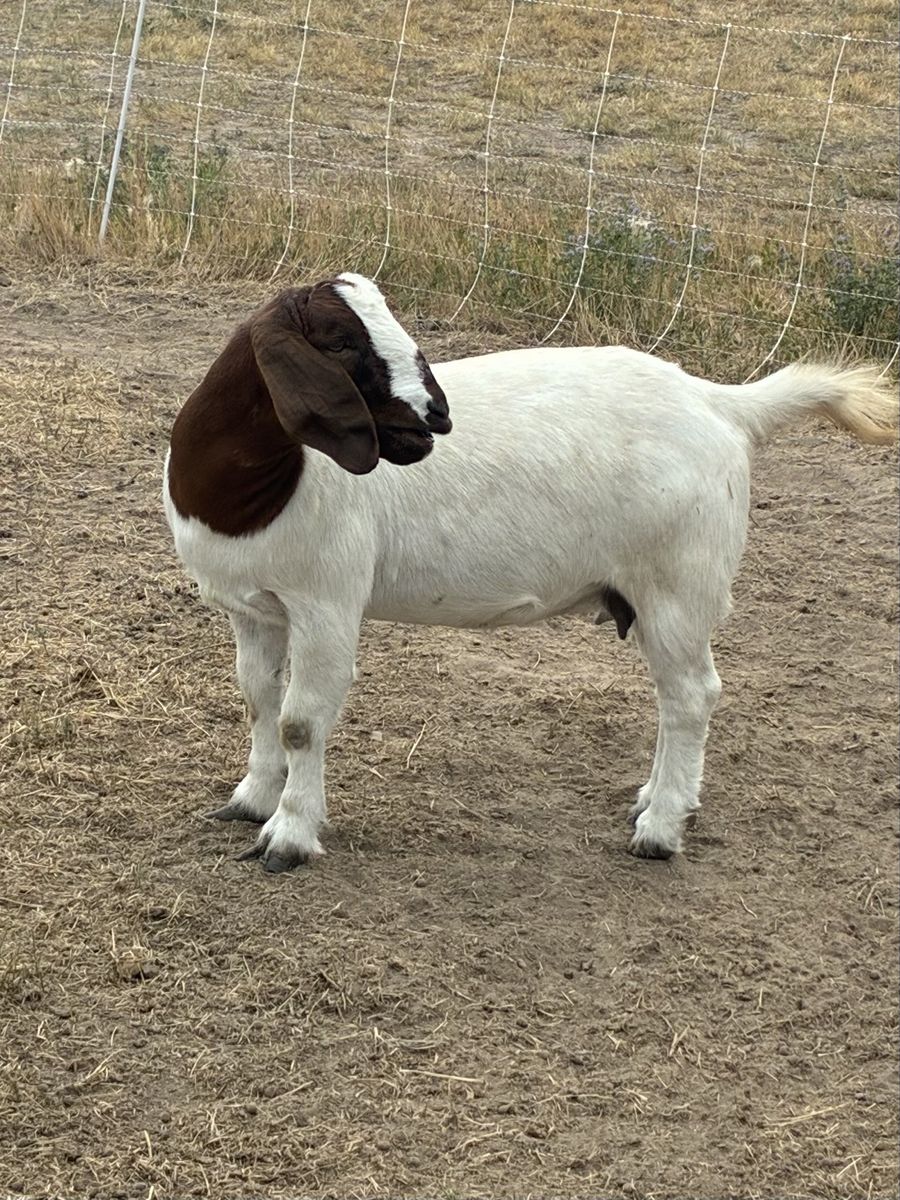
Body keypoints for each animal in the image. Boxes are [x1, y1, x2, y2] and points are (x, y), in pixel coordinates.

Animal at [163, 272, 898, 873]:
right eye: (341, 341)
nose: (437, 417)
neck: (260, 485)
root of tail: (722, 405)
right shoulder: (253, 607)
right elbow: (258, 699)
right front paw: (251, 800)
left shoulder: (327, 602)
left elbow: (301, 721)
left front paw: (288, 836)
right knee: (675, 696)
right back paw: (655, 801)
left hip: (679, 585)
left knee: (691, 695)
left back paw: (660, 830)